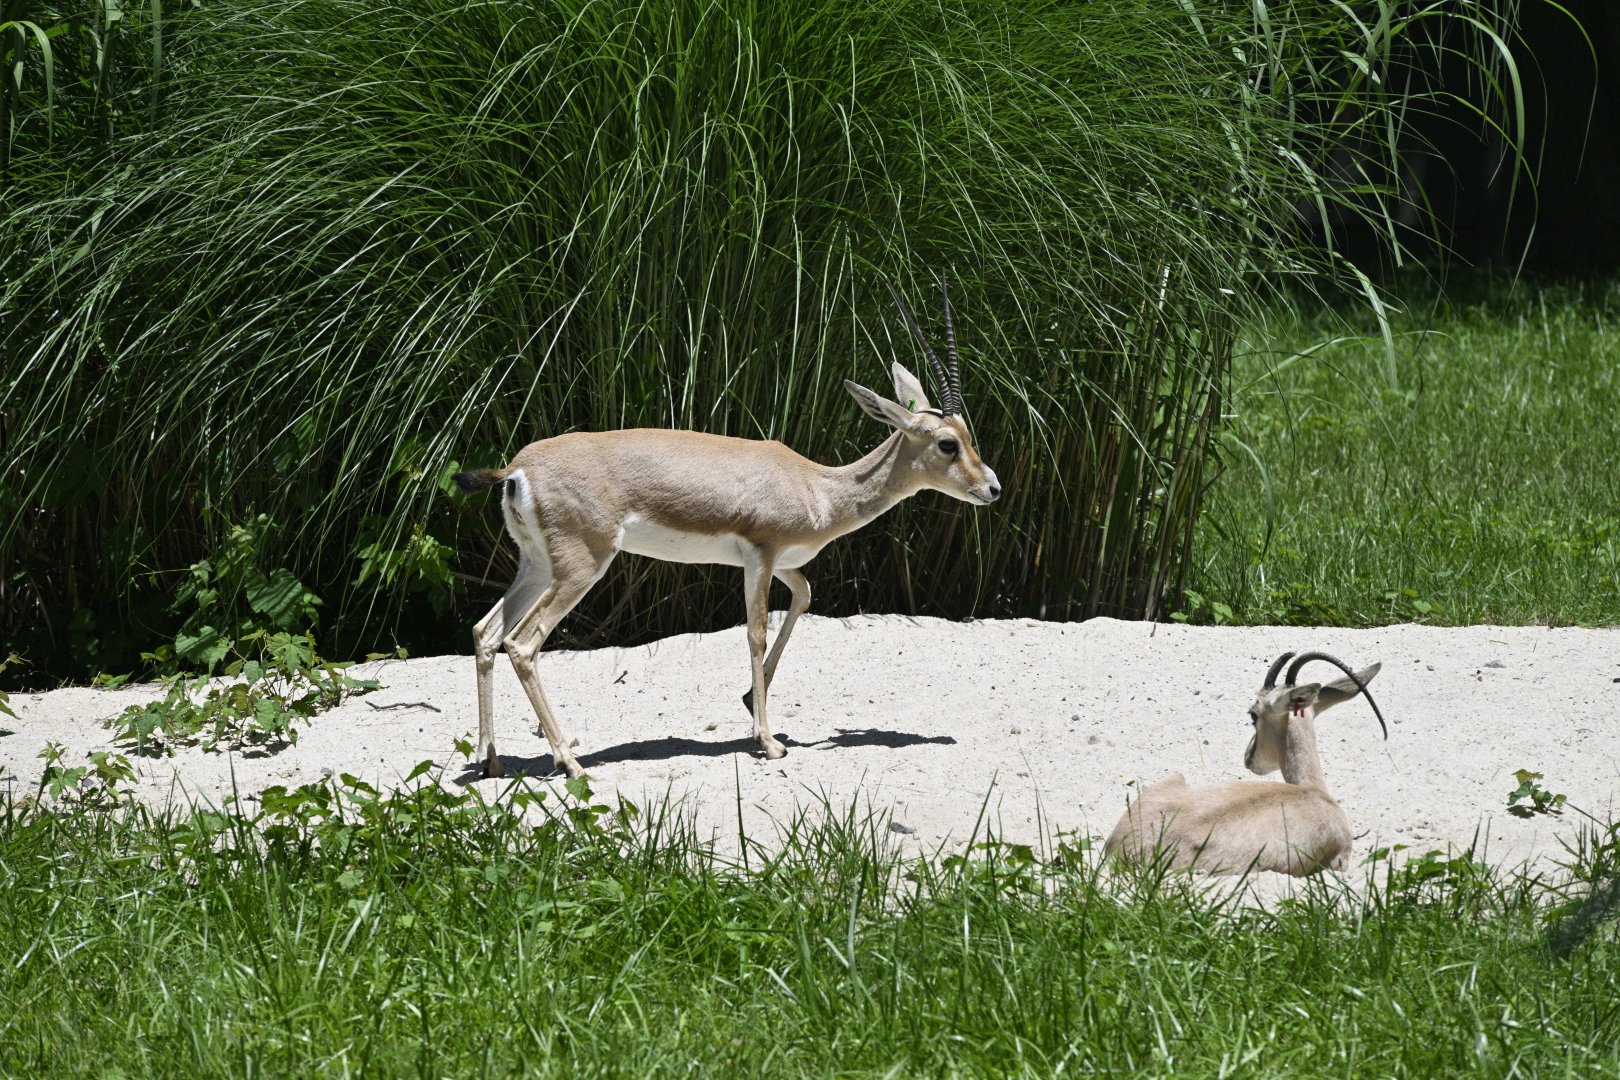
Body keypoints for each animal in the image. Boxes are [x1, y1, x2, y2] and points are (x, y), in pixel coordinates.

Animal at [452, 279, 1001, 779]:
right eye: (947, 444)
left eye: (969, 435)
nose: (992, 488)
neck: (816, 488)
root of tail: (517, 469)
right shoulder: (761, 555)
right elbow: (755, 632)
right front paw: (769, 742)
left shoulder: (783, 564)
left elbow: (803, 598)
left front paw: (748, 705)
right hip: (582, 567)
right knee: (523, 643)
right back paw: (569, 761)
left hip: (537, 565)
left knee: (485, 632)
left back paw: (491, 761)